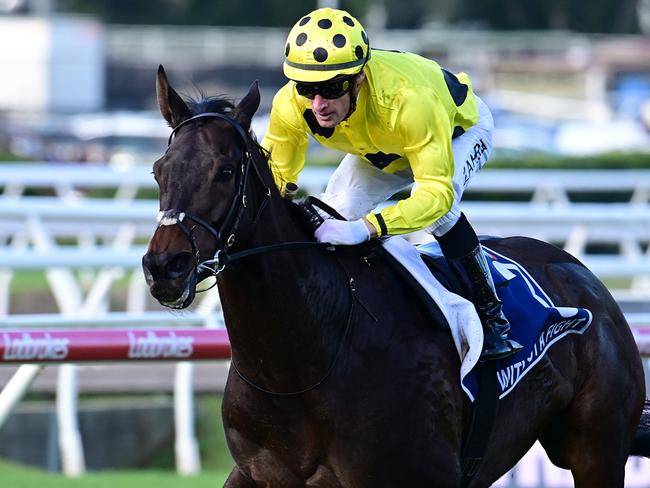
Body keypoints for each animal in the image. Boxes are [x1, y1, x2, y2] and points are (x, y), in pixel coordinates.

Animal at [143, 66, 648, 488]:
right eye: (158, 171)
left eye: (226, 171)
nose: (165, 267)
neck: (300, 363)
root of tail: (585, 278)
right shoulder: (256, 474)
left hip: (597, 452)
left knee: (445, 208)